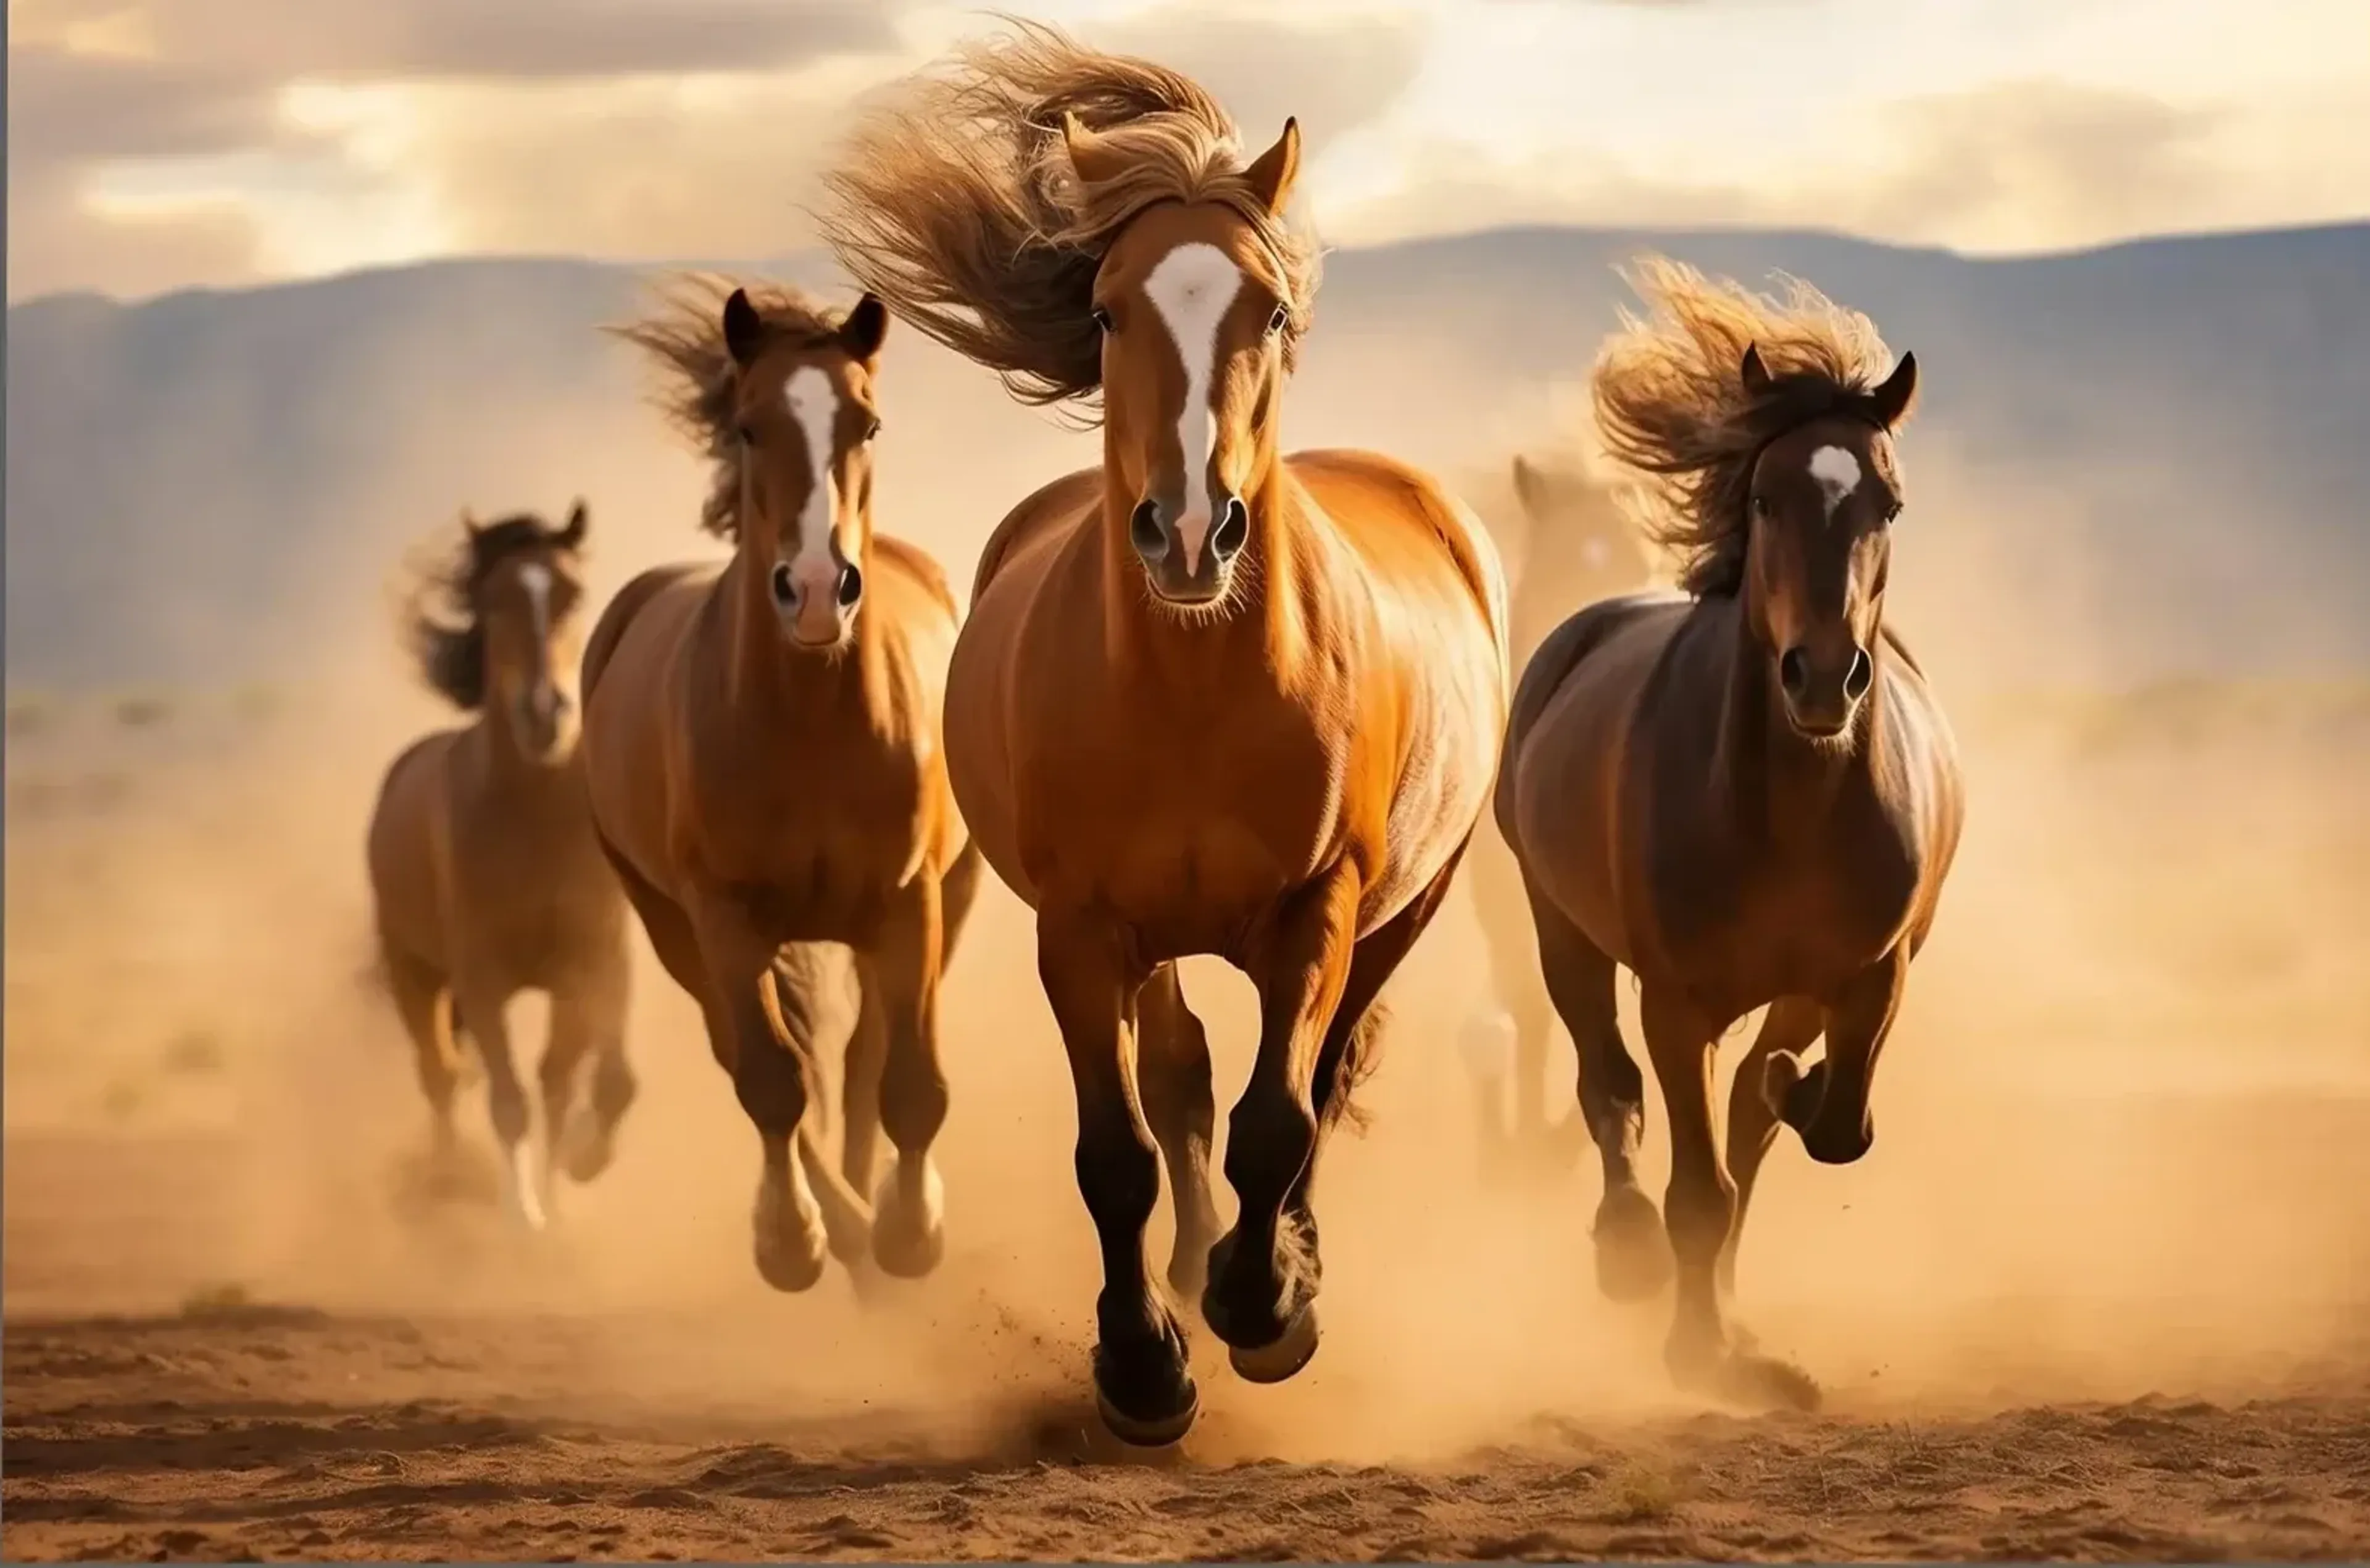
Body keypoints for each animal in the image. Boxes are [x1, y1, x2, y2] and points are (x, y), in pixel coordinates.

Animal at [364, 502, 637, 1230]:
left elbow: (602, 1080)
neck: (535, 816)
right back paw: (445, 1181)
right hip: (413, 972)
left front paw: (576, 1167)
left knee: (543, 1080)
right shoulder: (483, 978)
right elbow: (508, 1098)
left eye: (573, 592)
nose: (545, 715)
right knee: (439, 1075)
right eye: (493, 600)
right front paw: (526, 1219)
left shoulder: (595, 962)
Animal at [580, 277, 980, 1295]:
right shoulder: (722, 916)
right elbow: (769, 1079)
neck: (808, 720)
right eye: (750, 426)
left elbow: (907, 1081)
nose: (813, 589)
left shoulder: (909, 903)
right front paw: (794, 1241)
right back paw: (834, 1229)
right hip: (669, 922)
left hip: (949, 900)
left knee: (863, 1057)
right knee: (751, 1056)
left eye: (867, 423)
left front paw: (911, 1232)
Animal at [818, 21, 1509, 1446]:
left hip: (1406, 907)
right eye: (1104, 308)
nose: (1191, 532)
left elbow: (1277, 1121)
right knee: (1186, 1076)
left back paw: (1276, 1265)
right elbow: (1122, 1150)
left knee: (1323, 1075)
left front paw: (1266, 1308)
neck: (1198, 690)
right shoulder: (1083, 929)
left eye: (1274, 311)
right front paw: (1144, 1365)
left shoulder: (1316, 911)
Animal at [1495, 256, 1964, 1411]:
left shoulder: (1868, 976)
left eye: (1889, 502)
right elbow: (1694, 1184)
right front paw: (1692, 1346)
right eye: (1763, 495)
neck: (1793, 810)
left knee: (1742, 1125)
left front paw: (1729, 1339)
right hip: (1559, 931)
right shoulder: (1677, 1003)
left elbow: (1822, 1130)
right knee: (1604, 1085)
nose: (1822, 677)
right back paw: (1625, 1249)